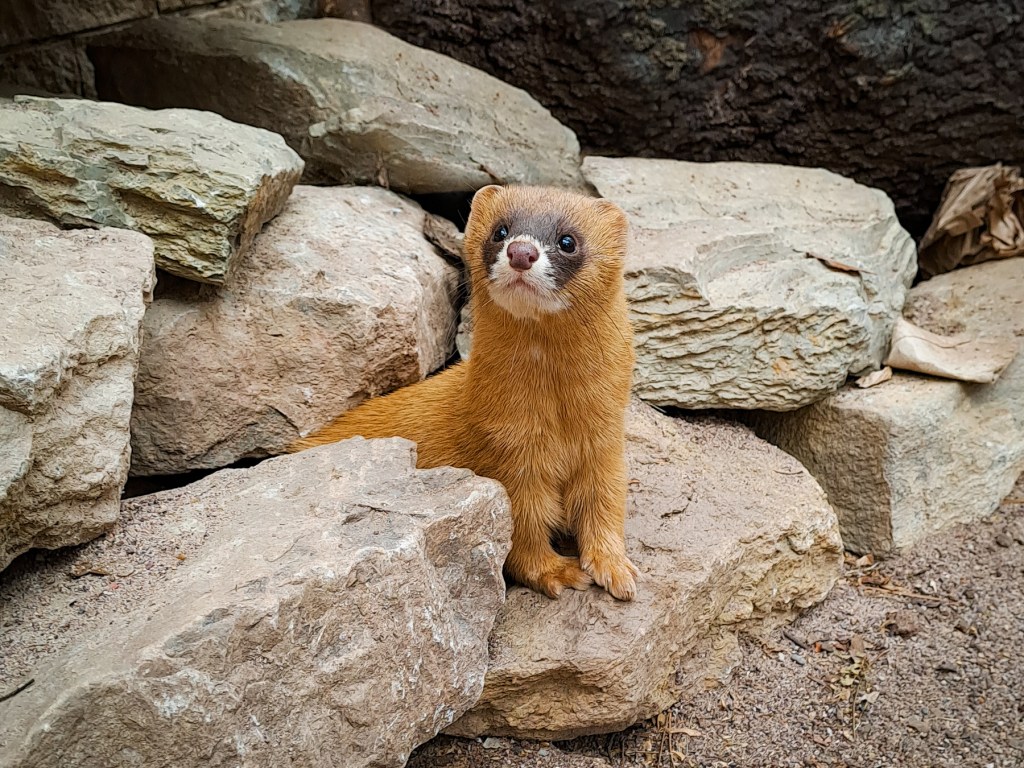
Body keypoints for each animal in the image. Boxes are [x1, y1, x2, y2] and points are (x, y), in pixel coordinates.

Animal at [288, 185, 634, 602]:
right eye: (501, 231)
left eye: (568, 240)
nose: (521, 252)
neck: (556, 418)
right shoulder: (507, 455)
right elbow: (523, 531)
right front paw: (558, 572)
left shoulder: (606, 442)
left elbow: (605, 504)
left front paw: (615, 567)